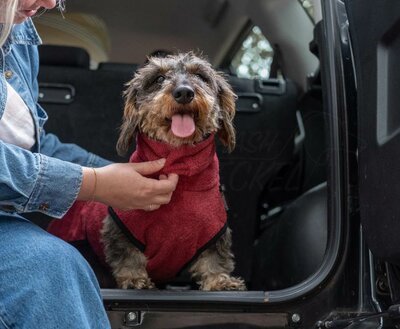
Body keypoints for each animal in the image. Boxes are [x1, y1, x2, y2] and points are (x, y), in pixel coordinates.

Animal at [48, 52, 245, 290]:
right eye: (159, 79)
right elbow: (128, 255)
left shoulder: (214, 232)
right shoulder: (121, 230)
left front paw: (220, 281)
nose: (184, 92)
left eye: (200, 75)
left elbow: (214, 258)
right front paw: (134, 279)